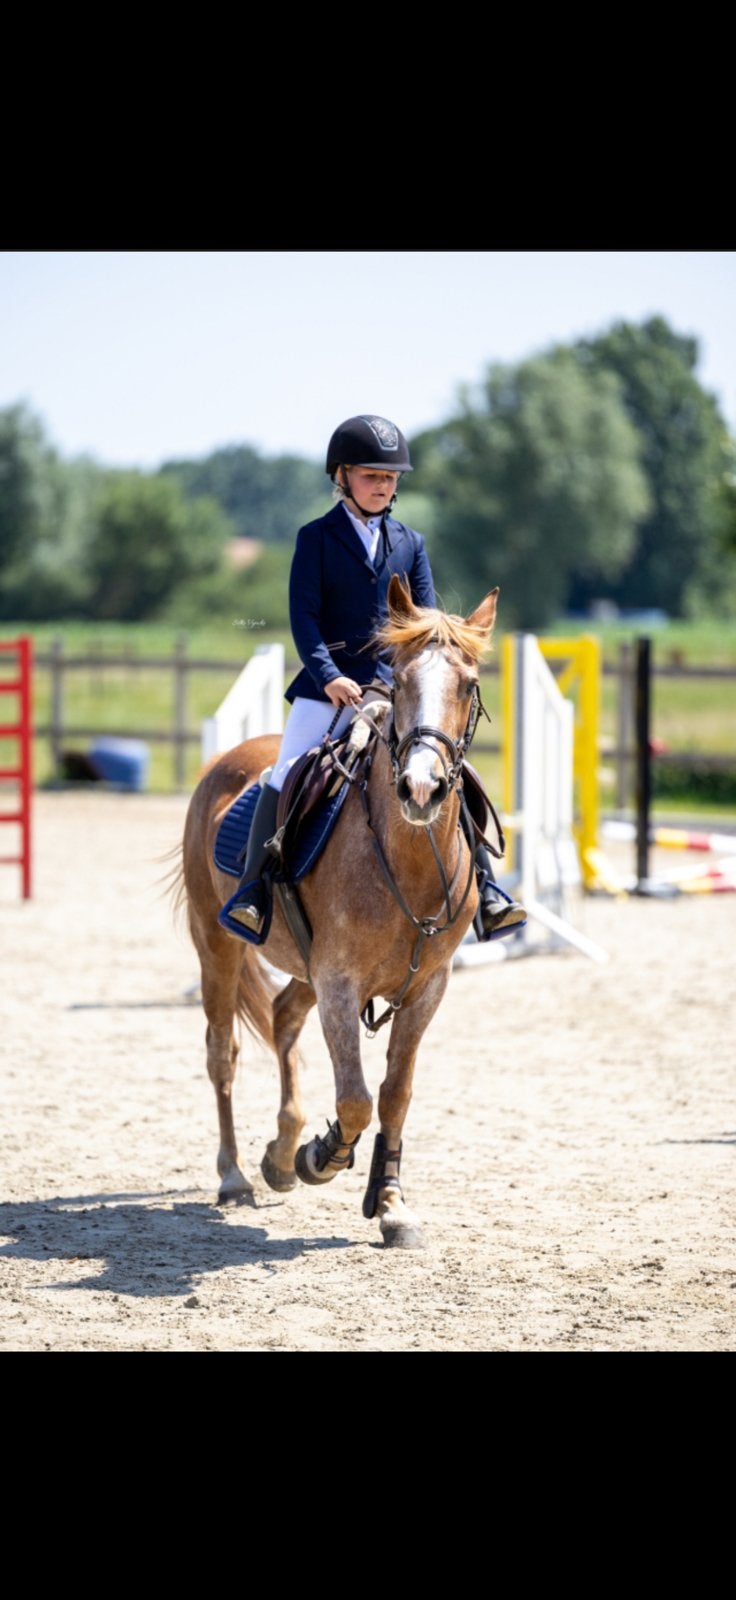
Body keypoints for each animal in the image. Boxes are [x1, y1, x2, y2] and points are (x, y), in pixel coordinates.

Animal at [178, 574, 499, 1248]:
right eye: (398, 680)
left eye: (468, 684)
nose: (422, 789)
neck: (408, 859)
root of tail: (228, 761)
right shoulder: (339, 982)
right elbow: (354, 1100)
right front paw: (320, 1157)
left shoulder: (427, 986)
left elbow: (395, 1093)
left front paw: (392, 1202)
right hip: (217, 946)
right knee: (222, 1051)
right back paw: (237, 1175)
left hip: (303, 966)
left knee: (281, 1017)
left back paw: (279, 1151)